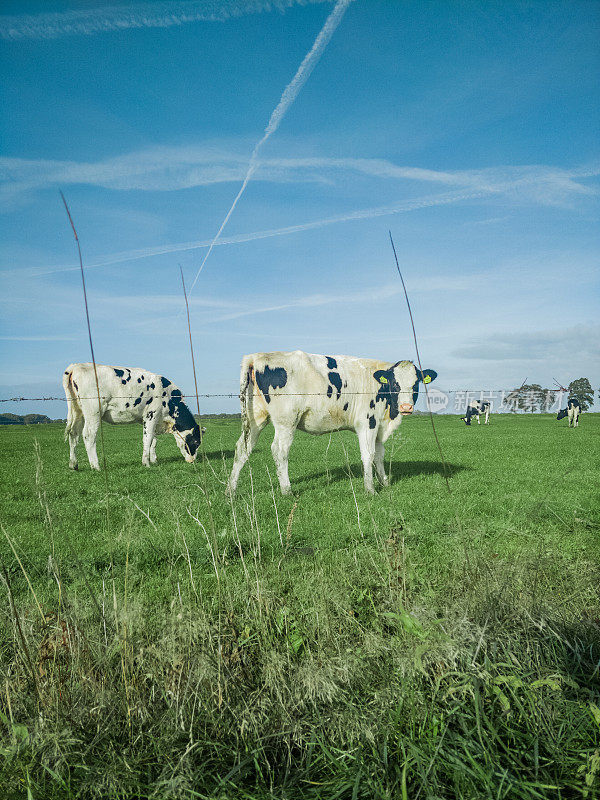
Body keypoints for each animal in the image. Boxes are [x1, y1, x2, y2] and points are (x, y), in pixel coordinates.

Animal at [62, 362, 205, 468]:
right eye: (196, 442)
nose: (193, 460)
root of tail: (76, 366)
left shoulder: (150, 420)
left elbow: (153, 440)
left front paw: (154, 460)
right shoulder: (151, 415)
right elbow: (147, 439)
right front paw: (146, 463)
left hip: (77, 411)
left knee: (74, 433)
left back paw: (73, 464)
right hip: (93, 411)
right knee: (88, 435)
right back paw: (95, 466)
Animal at [225, 350, 436, 494]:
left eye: (416, 383)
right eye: (394, 383)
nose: (406, 407)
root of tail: (257, 356)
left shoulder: (379, 427)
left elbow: (379, 455)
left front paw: (384, 482)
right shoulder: (367, 422)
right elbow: (368, 455)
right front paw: (370, 489)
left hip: (256, 418)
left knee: (242, 449)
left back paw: (230, 490)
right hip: (287, 420)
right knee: (279, 450)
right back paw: (287, 490)